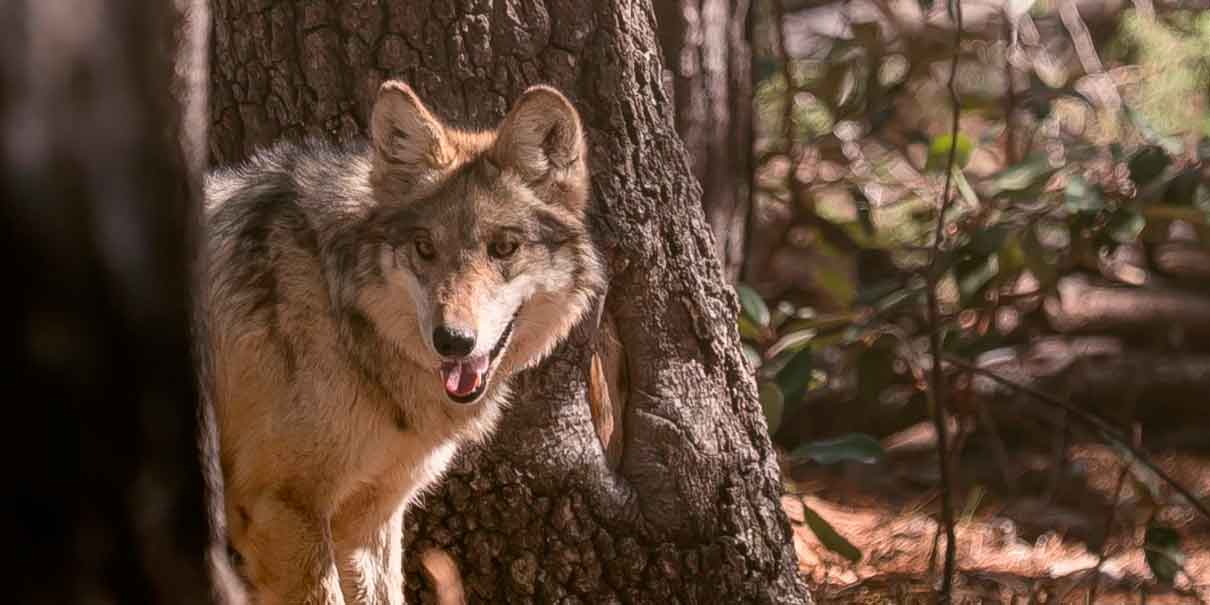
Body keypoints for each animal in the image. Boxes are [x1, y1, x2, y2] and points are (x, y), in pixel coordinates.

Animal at [197, 81, 603, 605]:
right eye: (425, 248)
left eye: (504, 248)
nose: (453, 341)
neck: (339, 309)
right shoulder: (281, 507)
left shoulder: (369, 520)